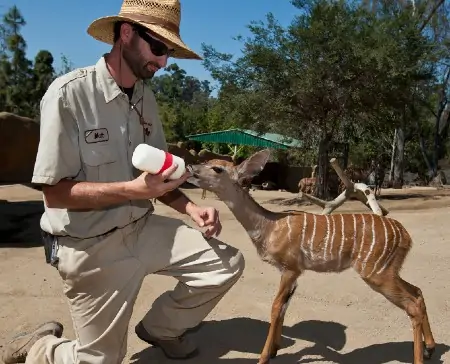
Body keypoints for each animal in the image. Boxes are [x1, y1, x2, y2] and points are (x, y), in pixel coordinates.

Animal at [187, 149, 436, 364]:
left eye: (217, 168)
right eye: (207, 162)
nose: (190, 167)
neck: (268, 227)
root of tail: (405, 235)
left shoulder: (291, 268)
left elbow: (275, 307)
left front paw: (263, 357)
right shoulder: (294, 273)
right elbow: (284, 307)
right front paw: (275, 350)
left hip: (375, 272)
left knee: (412, 305)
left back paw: (421, 357)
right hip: (389, 269)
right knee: (418, 292)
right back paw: (431, 348)